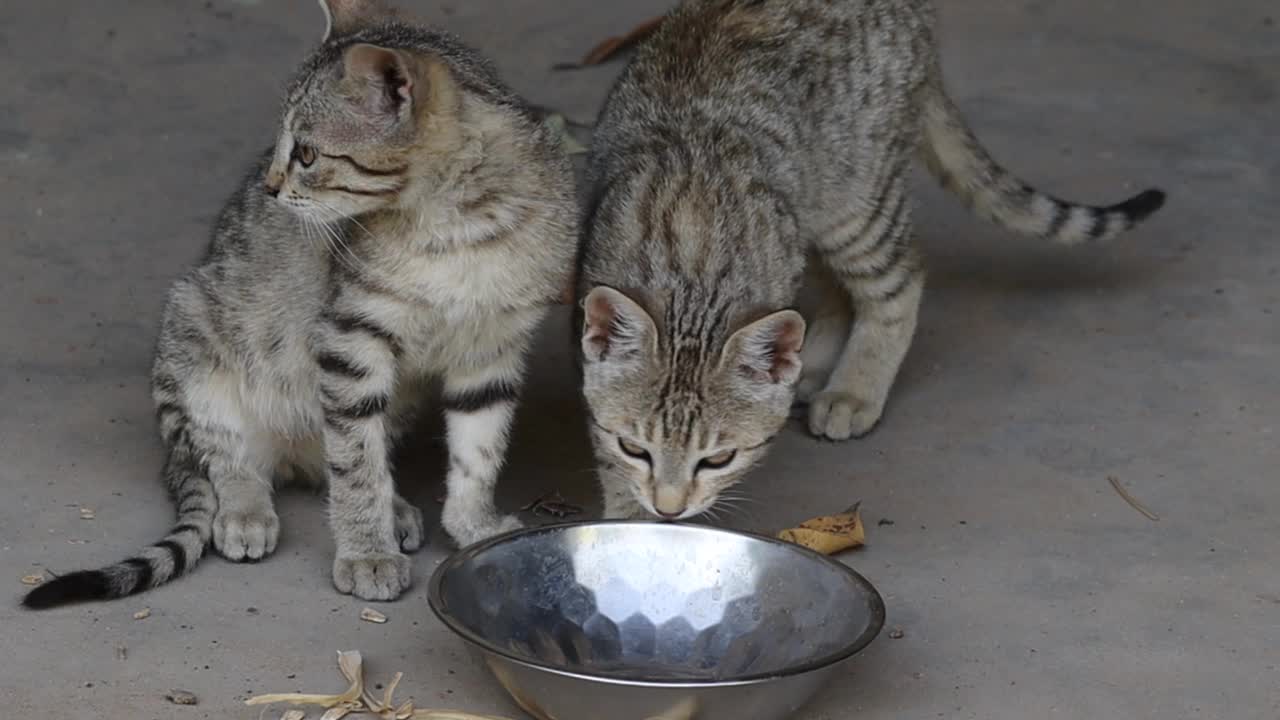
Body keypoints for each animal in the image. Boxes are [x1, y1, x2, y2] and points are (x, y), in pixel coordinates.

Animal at [23, 0, 576, 604]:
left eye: (307, 154)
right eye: (282, 146)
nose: (269, 185)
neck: (461, 230)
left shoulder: (491, 348)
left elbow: (478, 452)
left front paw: (473, 525)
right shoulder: (350, 339)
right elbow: (355, 467)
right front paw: (366, 553)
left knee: (334, 461)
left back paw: (394, 507)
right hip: (193, 335)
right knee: (230, 458)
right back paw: (247, 511)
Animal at [576, 0, 1167, 517]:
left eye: (718, 458)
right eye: (636, 448)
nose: (669, 507)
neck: (692, 274)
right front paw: (629, 519)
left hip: (857, 198)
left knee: (899, 277)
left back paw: (853, 388)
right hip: (816, 200)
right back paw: (811, 364)